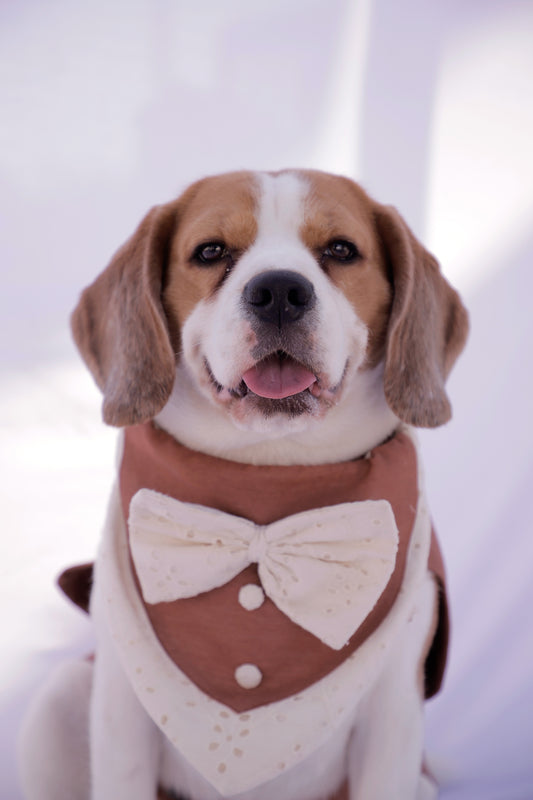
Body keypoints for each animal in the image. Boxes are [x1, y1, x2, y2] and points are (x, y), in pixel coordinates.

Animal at [17, 170, 466, 800]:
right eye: (210, 252)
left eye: (341, 249)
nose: (279, 290)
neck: (265, 481)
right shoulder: (120, 713)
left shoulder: (394, 715)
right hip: (60, 700)